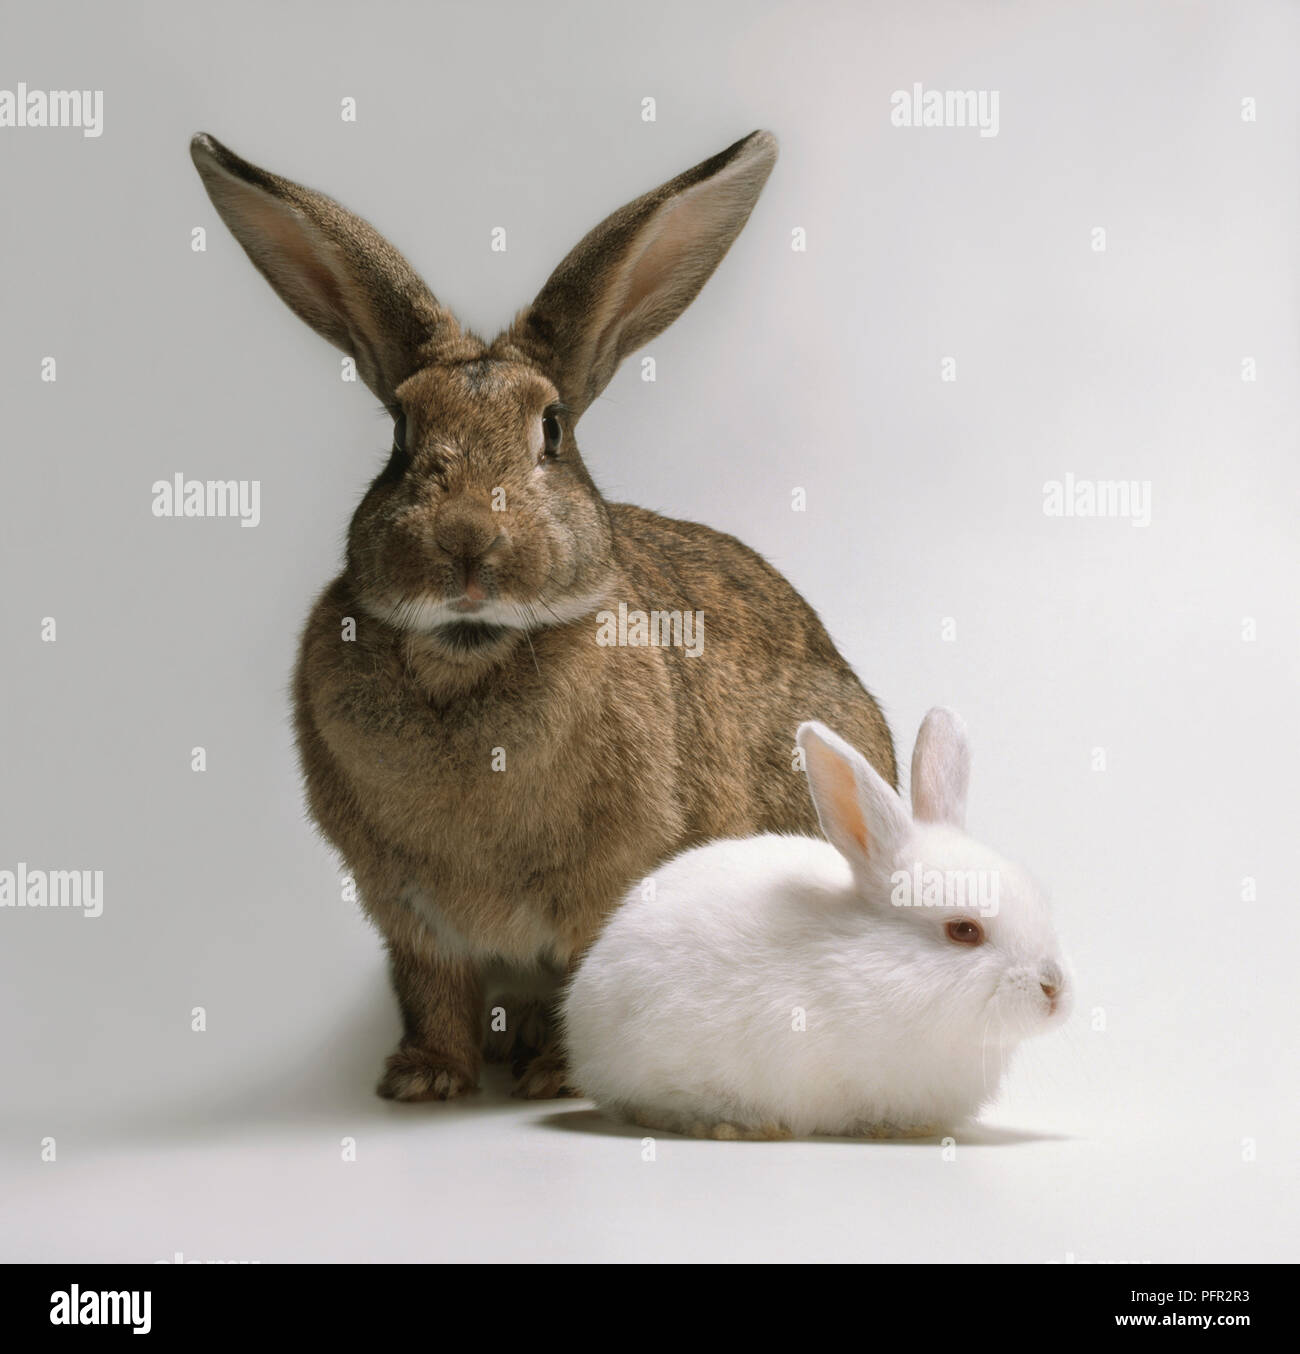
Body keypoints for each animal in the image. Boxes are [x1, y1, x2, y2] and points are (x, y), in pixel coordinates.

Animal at [188, 129, 896, 1102]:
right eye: (401, 435)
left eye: (552, 431)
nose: (465, 540)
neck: (467, 655)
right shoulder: (407, 913)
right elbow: (435, 990)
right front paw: (424, 1080)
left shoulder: (610, 882)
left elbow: (585, 972)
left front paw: (557, 1078)